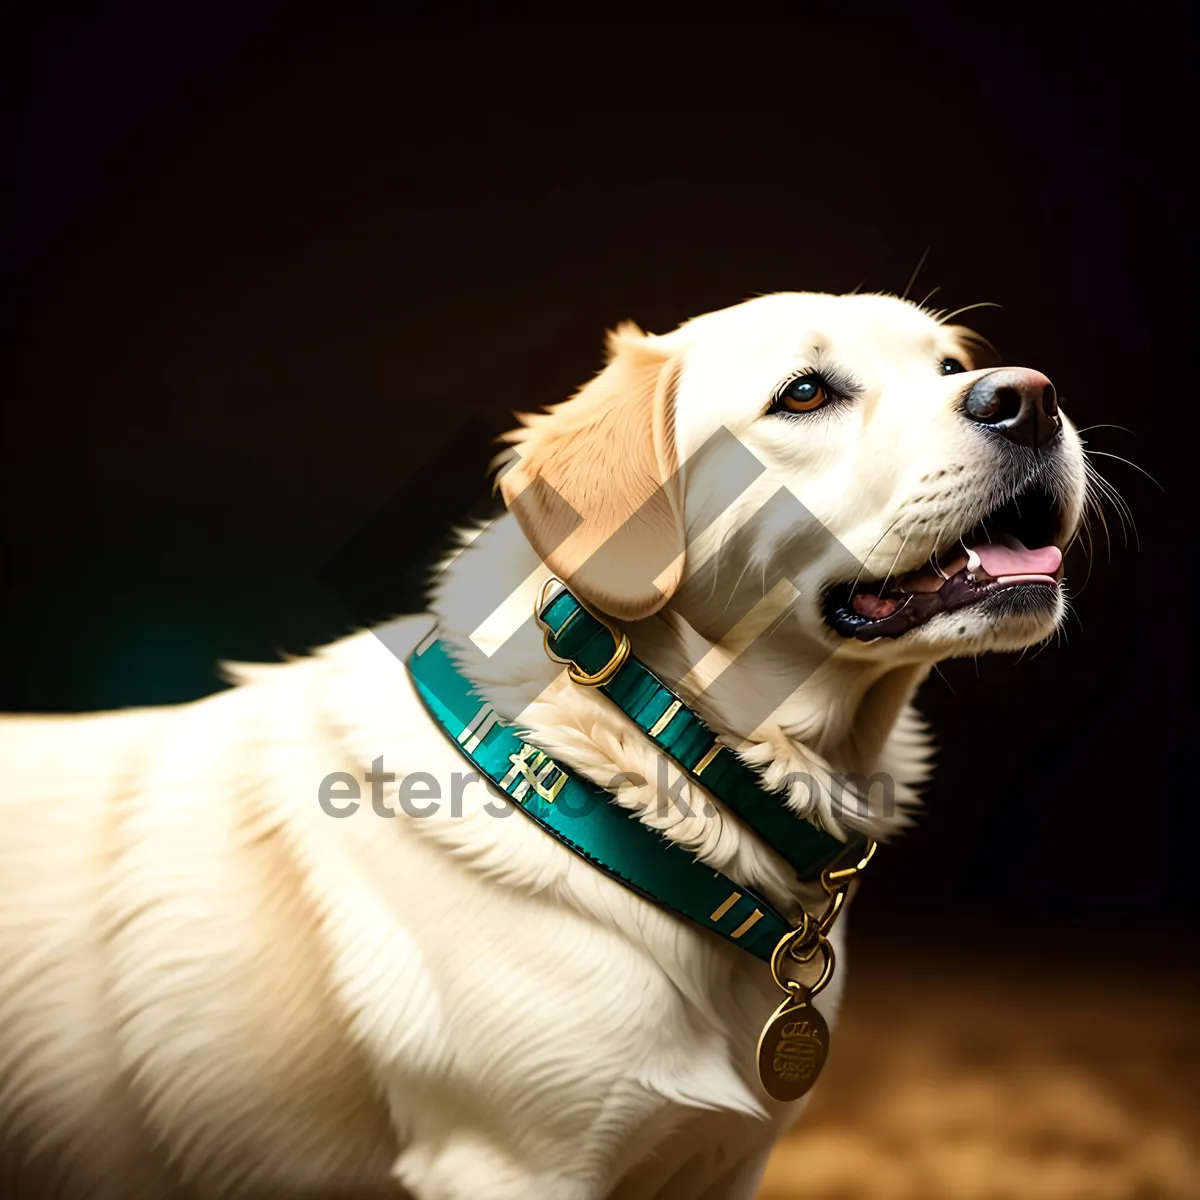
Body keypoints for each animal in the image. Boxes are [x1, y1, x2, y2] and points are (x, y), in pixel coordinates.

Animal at [0, 292, 1089, 1200]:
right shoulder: (512, 1165)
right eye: (807, 392)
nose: (1031, 396)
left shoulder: (722, 1167)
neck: (630, 763)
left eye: (950, 362)